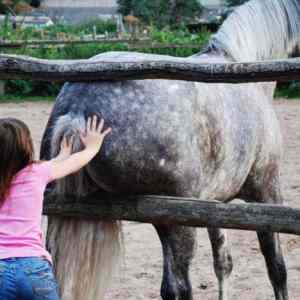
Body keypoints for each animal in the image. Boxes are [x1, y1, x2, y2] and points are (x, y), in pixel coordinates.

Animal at [40, 0, 300, 300]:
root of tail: (78, 110)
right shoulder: (266, 192)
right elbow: (276, 267)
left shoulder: (215, 204)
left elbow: (223, 263)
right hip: (176, 221)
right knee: (181, 286)